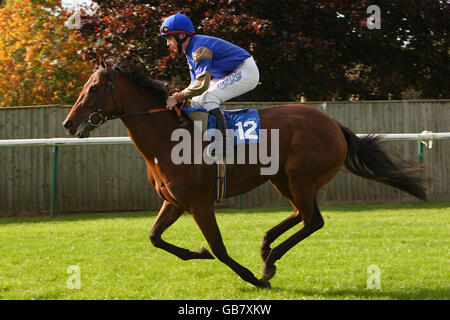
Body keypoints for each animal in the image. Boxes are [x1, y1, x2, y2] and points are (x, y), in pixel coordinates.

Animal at [62, 57, 426, 288]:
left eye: (93, 89)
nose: (68, 124)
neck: (167, 138)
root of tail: (335, 124)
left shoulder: (200, 204)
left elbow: (219, 248)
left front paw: (247, 275)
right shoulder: (175, 202)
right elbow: (154, 236)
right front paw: (196, 252)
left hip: (302, 179)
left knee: (313, 221)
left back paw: (268, 263)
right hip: (283, 179)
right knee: (301, 215)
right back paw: (266, 247)